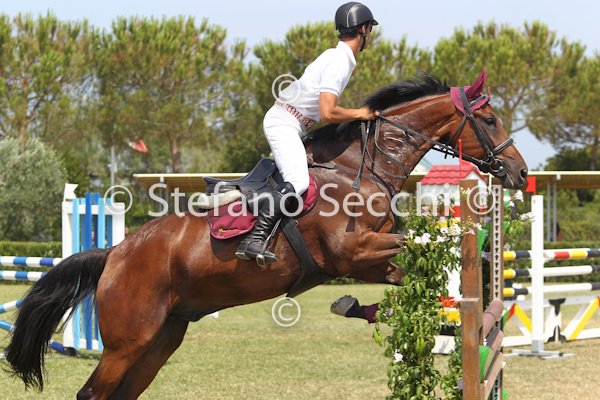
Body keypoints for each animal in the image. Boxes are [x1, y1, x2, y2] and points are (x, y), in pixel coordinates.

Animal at [4, 72, 527, 399]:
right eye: (490, 119)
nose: (520, 173)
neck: (361, 169)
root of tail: (115, 253)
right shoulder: (352, 253)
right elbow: (426, 251)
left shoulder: (371, 258)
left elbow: (415, 274)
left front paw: (356, 306)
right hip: (127, 342)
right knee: (91, 393)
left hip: (161, 338)